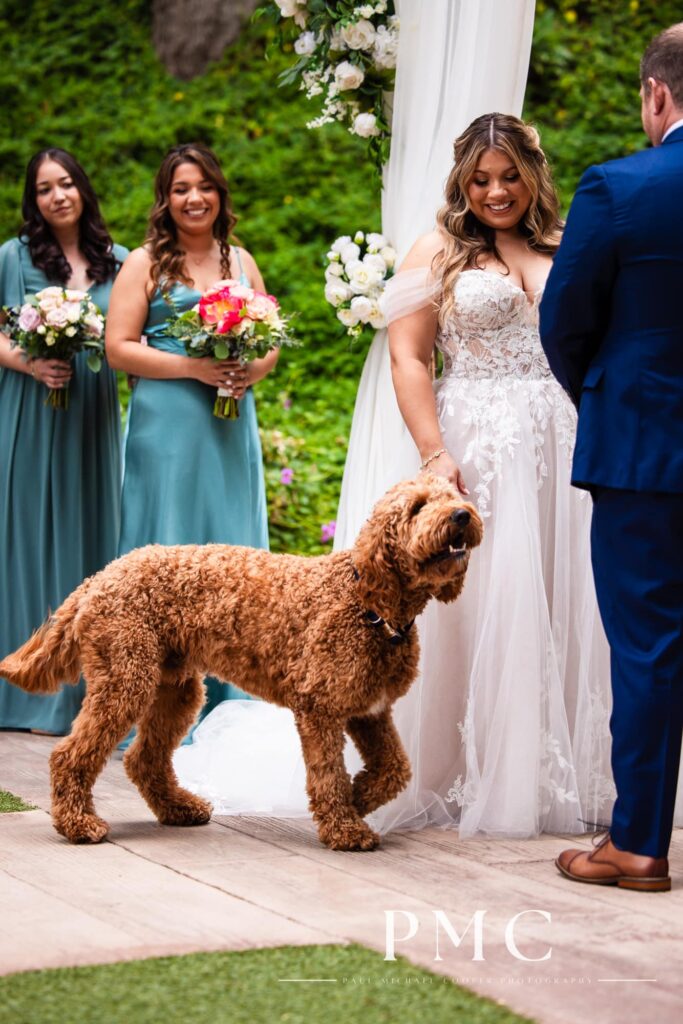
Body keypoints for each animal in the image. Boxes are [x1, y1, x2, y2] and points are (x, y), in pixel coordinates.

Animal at [0, 475, 481, 851]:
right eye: (418, 507)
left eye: (451, 495)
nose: (462, 515)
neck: (370, 604)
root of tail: (100, 577)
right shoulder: (320, 708)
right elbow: (328, 773)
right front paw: (345, 826)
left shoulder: (370, 712)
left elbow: (395, 769)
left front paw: (358, 796)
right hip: (126, 679)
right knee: (70, 755)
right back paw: (78, 825)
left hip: (176, 689)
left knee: (143, 758)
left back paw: (178, 807)